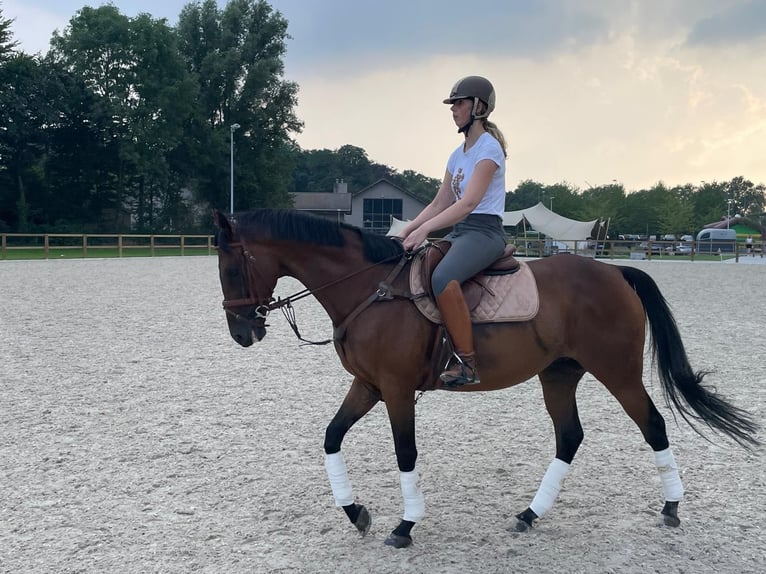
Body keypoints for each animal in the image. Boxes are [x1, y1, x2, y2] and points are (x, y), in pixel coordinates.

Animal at [212, 209, 760, 552]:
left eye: (232, 267)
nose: (241, 332)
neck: (370, 288)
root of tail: (614, 271)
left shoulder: (395, 390)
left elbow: (405, 453)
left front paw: (405, 525)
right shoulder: (367, 386)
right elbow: (330, 438)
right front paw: (356, 513)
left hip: (618, 372)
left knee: (653, 426)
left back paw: (671, 507)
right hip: (559, 375)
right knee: (570, 436)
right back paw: (530, 515)